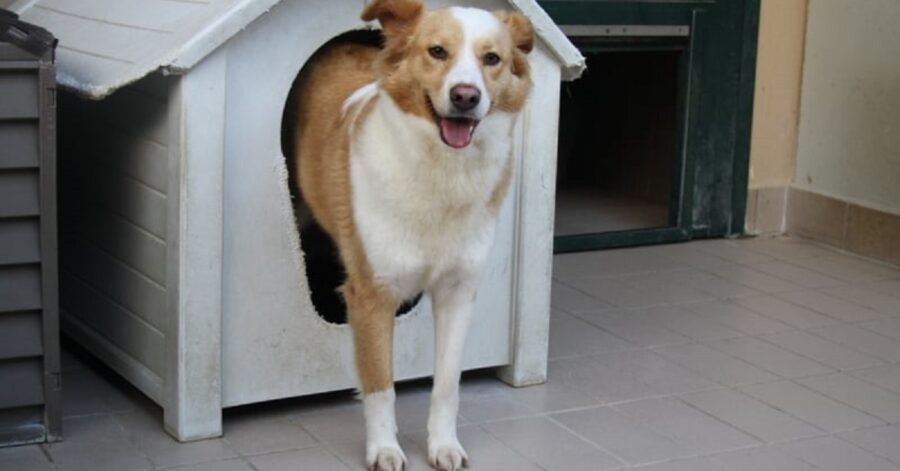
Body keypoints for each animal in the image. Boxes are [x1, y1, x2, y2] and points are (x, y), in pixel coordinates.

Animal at [292, 1, 532, 470]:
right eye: (437, 51)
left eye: (491, 58)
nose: (465, 97)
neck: (442, 174)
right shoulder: (371, 294)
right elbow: (380, 386)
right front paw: (384, 449)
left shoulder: (458, 291)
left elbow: (448, 384)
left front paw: (443, 445)